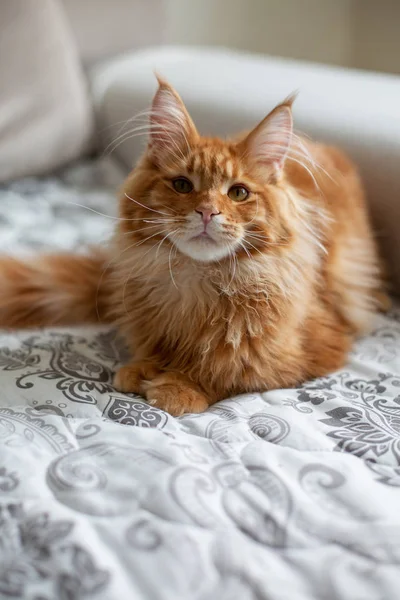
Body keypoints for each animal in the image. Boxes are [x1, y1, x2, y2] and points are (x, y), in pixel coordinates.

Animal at [0, 77, 388, 414]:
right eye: (183, 185)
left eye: (238, 193)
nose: (207, 212)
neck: (199, 284)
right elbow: (156, 351)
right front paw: (145, 367)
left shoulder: (314, 350)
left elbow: (231, 371)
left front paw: (179, 386)